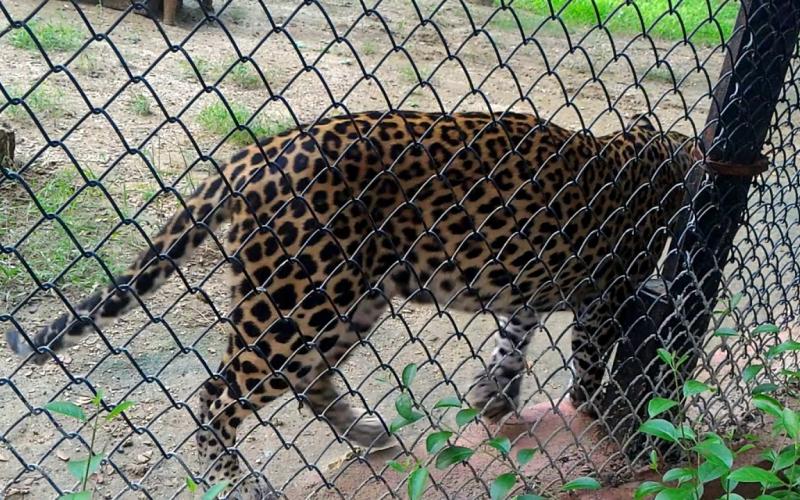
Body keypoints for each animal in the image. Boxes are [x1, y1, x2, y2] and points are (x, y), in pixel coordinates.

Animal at [4, 110, 692, 500]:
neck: (662, 152)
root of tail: (253, 154)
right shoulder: (609, 289)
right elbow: (591, 356)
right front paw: (597, 409)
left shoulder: (537, 292)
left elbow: (515, 337)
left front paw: (494, 395)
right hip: (296, 300)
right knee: (218, 392)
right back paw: (232, 481)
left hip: (345, 297)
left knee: (311, 383)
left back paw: (370, 432)